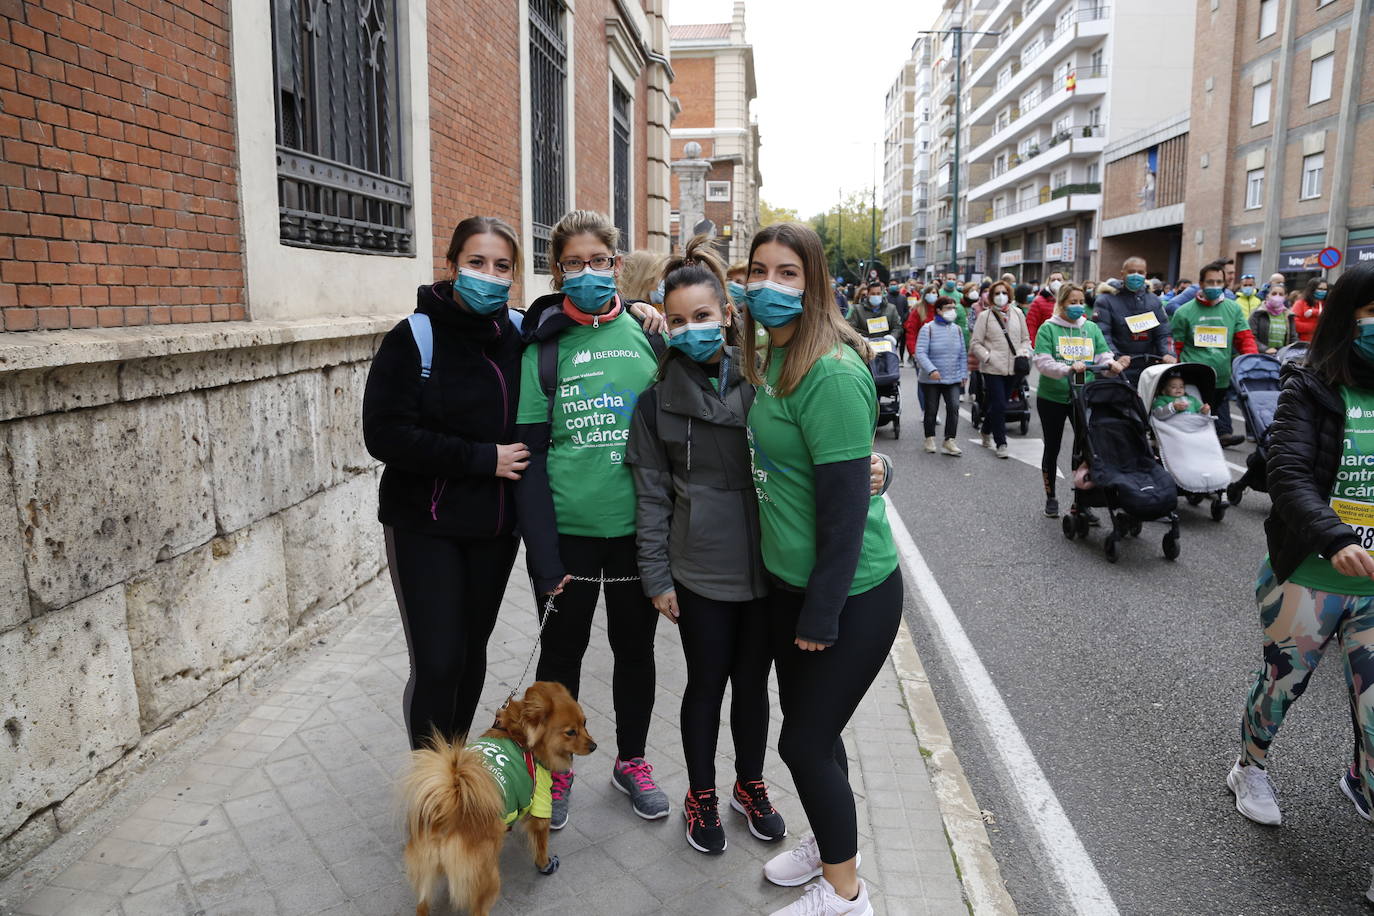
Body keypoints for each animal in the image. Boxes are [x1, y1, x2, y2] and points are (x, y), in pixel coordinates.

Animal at [398, 681, 590, 916]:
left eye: (585, 723)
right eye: (570, 732)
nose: (594, 745)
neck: (518, 735)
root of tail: (447, 814)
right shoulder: (541, 803)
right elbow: (541, 842)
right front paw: (545, 864)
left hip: (427, 875)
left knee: (422, 904)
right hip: (487, 878)